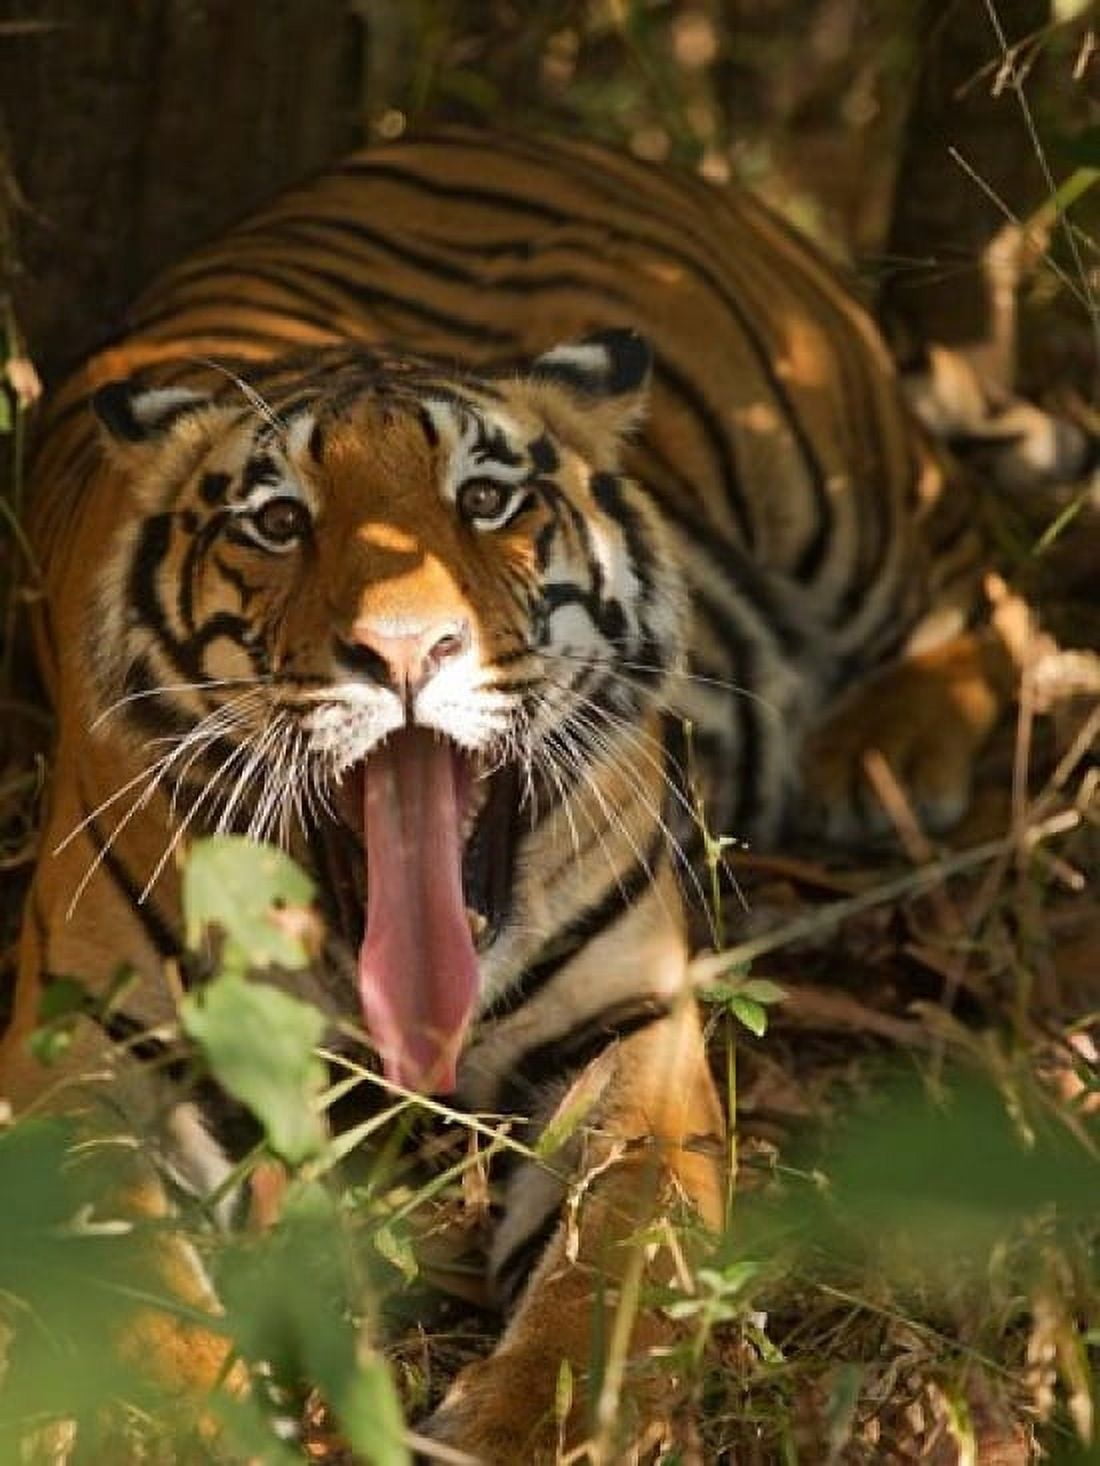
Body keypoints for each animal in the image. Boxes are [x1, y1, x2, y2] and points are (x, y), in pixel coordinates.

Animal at [1, 128, 1016, 1460]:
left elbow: (607, 1269)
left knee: (985, 577)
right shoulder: (76, 1054)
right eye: (276, 521)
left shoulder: (632, 1029)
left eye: (485, 499)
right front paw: (206, 1424)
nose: (406, 648)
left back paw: (885, 748)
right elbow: (132, 1302)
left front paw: (528, 1423)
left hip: (827, 481)